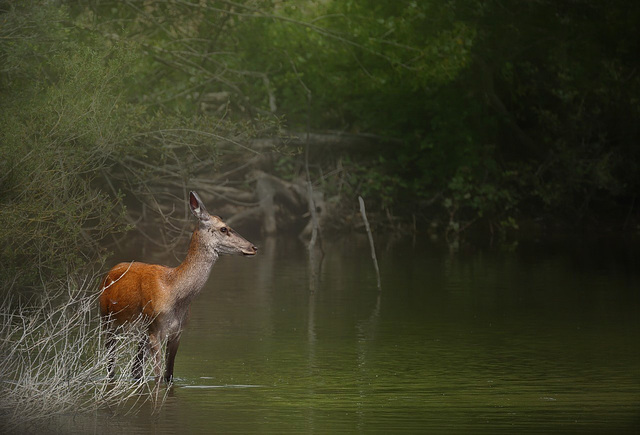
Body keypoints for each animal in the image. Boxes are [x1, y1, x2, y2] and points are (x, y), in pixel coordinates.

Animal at [98, 192, 258, 384]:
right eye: (224, 229)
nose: (253, 247)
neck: (174, 290)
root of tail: (109, 273)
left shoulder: (177, 332)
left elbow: (169, 376)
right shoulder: (155, 329)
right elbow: (159, 377)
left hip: (139, 332)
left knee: (136, 370)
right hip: (107, 320)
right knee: (111, 365)